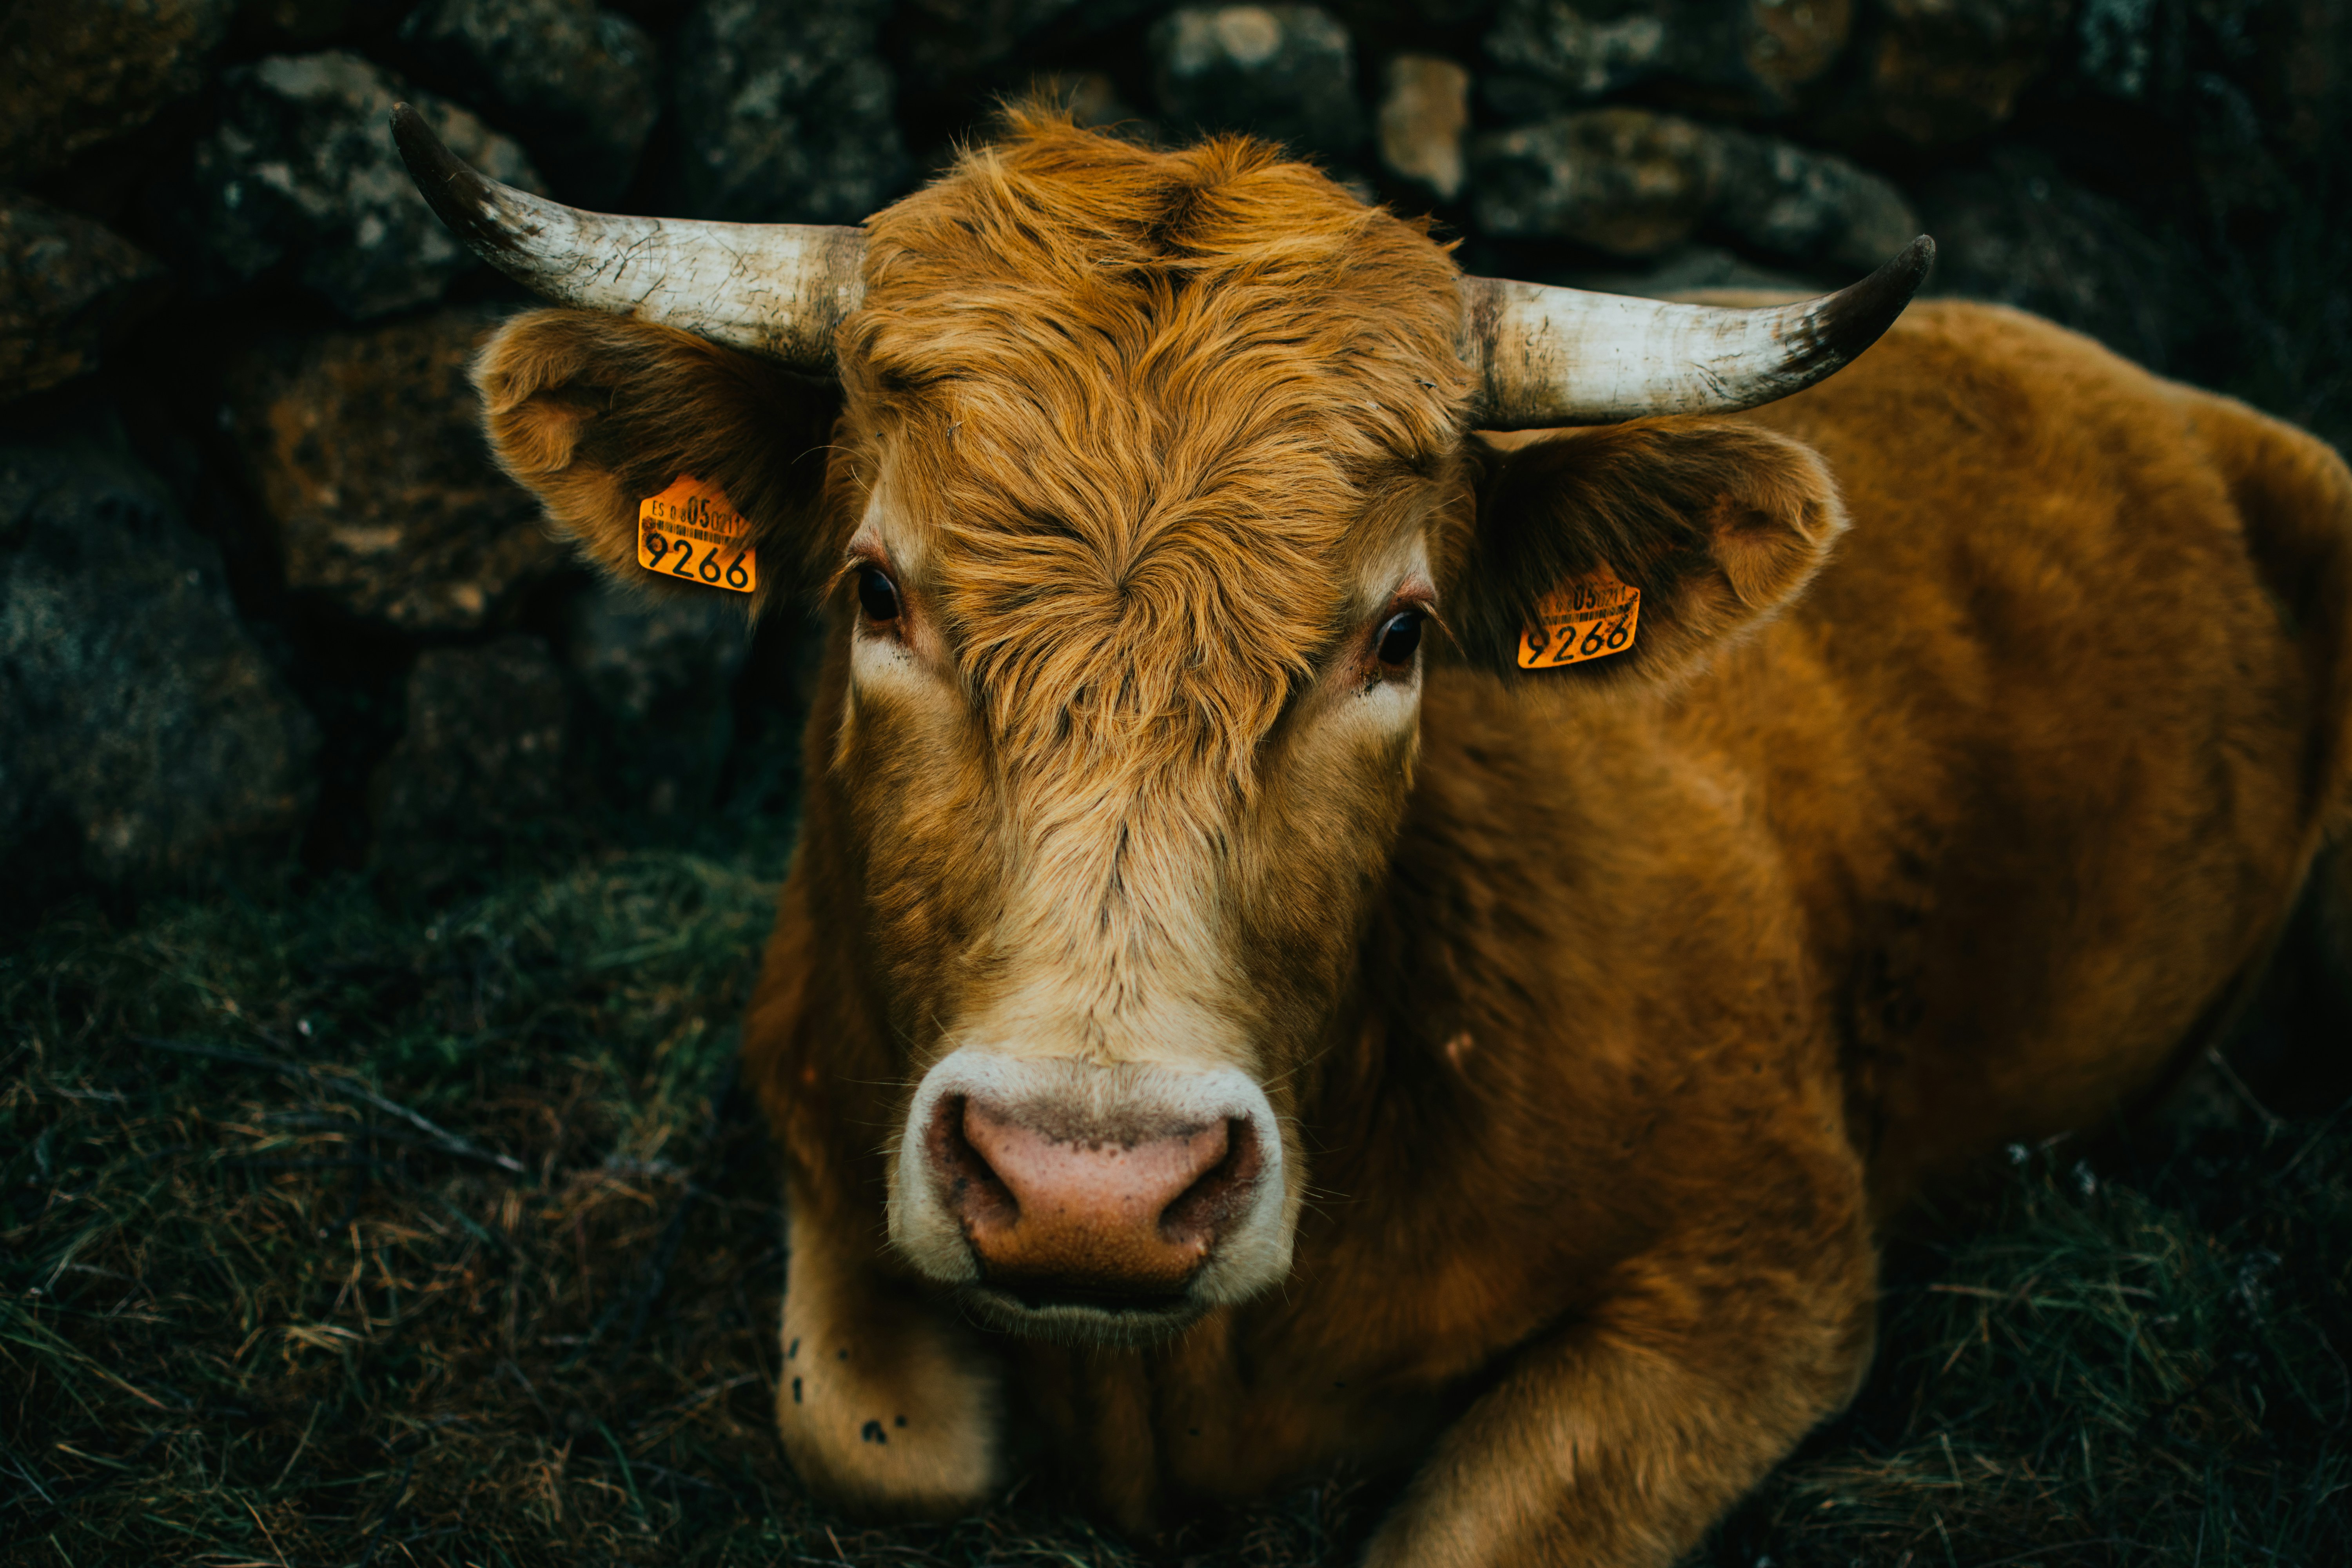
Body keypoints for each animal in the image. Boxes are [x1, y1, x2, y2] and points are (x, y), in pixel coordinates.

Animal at [394, 104, 2352, 1564]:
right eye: (876, 591)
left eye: (1401, 634)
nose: (1090, 1186)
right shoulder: (811, 1108)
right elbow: (877, 1438)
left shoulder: (1768, 1276)